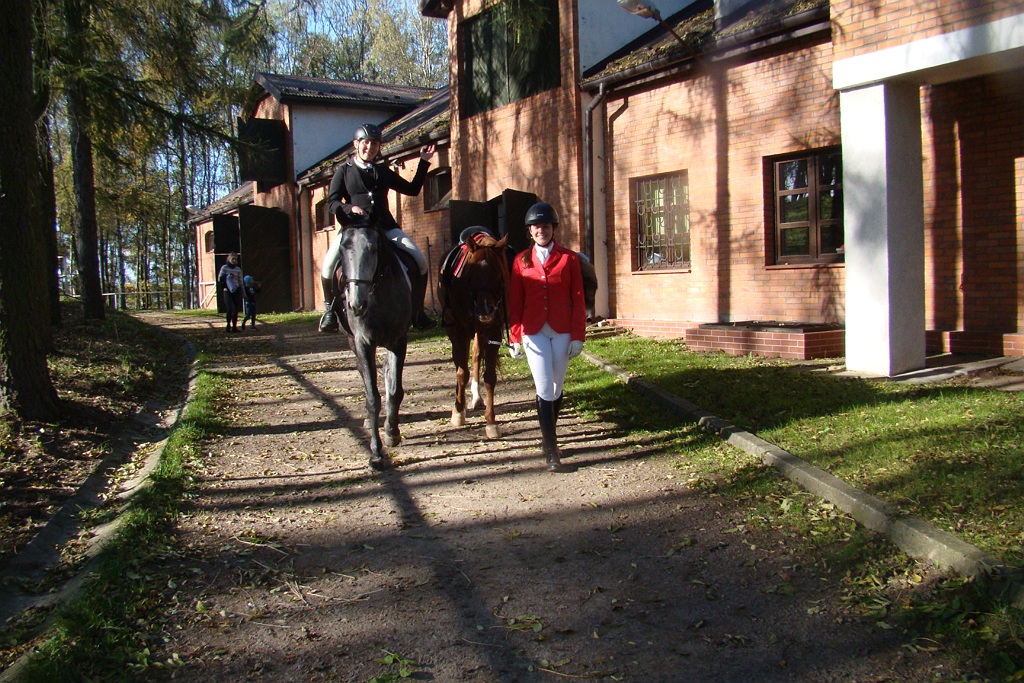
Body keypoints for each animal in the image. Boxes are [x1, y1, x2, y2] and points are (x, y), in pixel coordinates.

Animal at [331, 221, 412, 470]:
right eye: (342, 249)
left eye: (374, 249)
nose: (356, 304)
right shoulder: (363, 342)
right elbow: (372, 398)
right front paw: (376, 453)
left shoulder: (398, 340)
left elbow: (394, 390)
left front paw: (392, 432)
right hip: (351, 340)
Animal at [439, 230, 511, 439]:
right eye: (471, 275)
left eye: (498, 274)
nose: (486, 310)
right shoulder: (459, 330)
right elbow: (462, 372)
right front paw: (458, 412)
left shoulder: (493, 329)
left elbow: (489, 376)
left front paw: (491, 421)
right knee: (460, 364)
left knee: (476, 355)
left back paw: (477, 398)